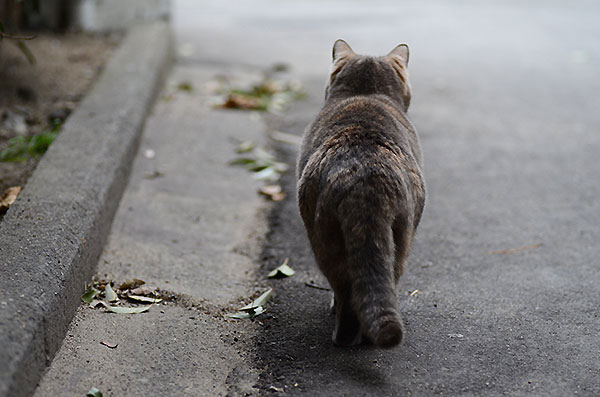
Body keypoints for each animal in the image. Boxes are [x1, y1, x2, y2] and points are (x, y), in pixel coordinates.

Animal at [296, 39, 426, 346]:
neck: (365, 93)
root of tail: (366, 181)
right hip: (399, 238)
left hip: (324, 240)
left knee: (346, 291)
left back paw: (344, 336)